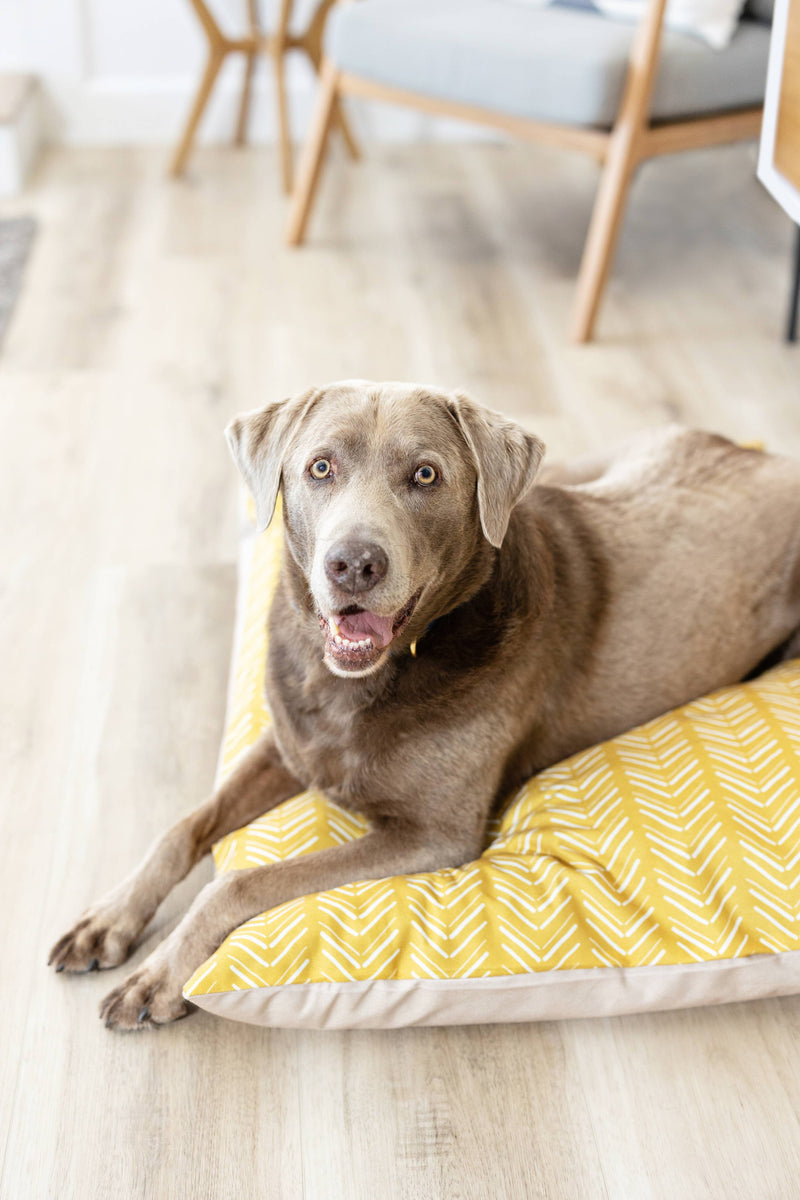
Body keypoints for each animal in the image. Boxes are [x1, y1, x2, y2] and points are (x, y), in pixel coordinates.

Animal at [48, 379, 800, 1027]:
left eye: (426, 476)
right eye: (320, 467)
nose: (353, 565)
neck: (360, 682)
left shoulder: (433, 834)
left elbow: (240, 884)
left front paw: (158, 975)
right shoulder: (290, 743)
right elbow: (182, 827)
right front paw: (107, 919)